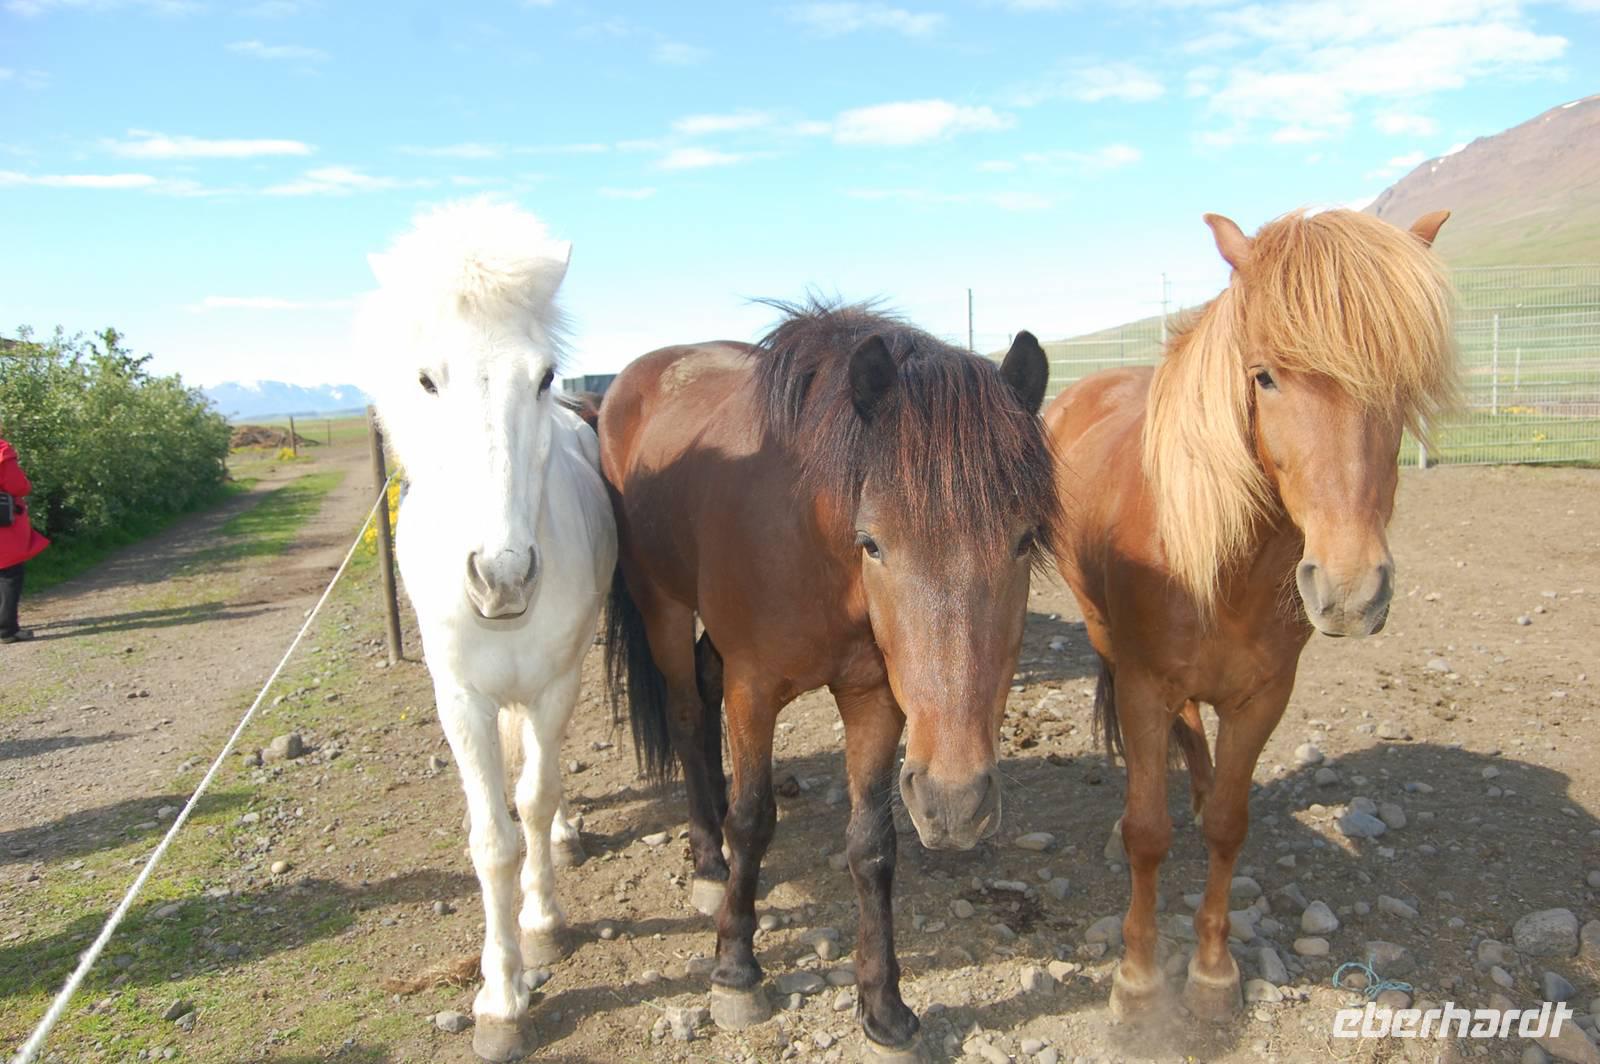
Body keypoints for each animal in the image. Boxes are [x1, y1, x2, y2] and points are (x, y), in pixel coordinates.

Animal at [358, 201, 617, 1062]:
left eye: (544, 376)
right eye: (425, 379)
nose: (502, 577)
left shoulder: (555, 683)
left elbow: (533, 800)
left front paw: (542, 921)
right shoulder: (461, 700)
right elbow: (492, 840)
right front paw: (501, 995)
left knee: (546, 776)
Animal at [599, 300, 1062, 1057]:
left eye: (1022, 540)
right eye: (872, 542)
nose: (956, 803)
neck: (809, 540)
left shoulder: (877, 701)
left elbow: (872, 846)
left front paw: (883, 1005)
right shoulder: (753, 691)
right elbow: (753, 819)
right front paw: (735, 968)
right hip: (659, 603)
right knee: (689, 718)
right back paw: (708, 862)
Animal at [1043, 208, 1457, 1024]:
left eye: (1398, 383)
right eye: (1264, 375)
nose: (1351, 589)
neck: (1220, 561)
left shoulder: (1265, 695)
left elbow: (1229, 826)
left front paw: (1212, 974)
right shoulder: (1143, 685)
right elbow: (1148, 832)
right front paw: (1139, 981)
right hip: (1105, 636)